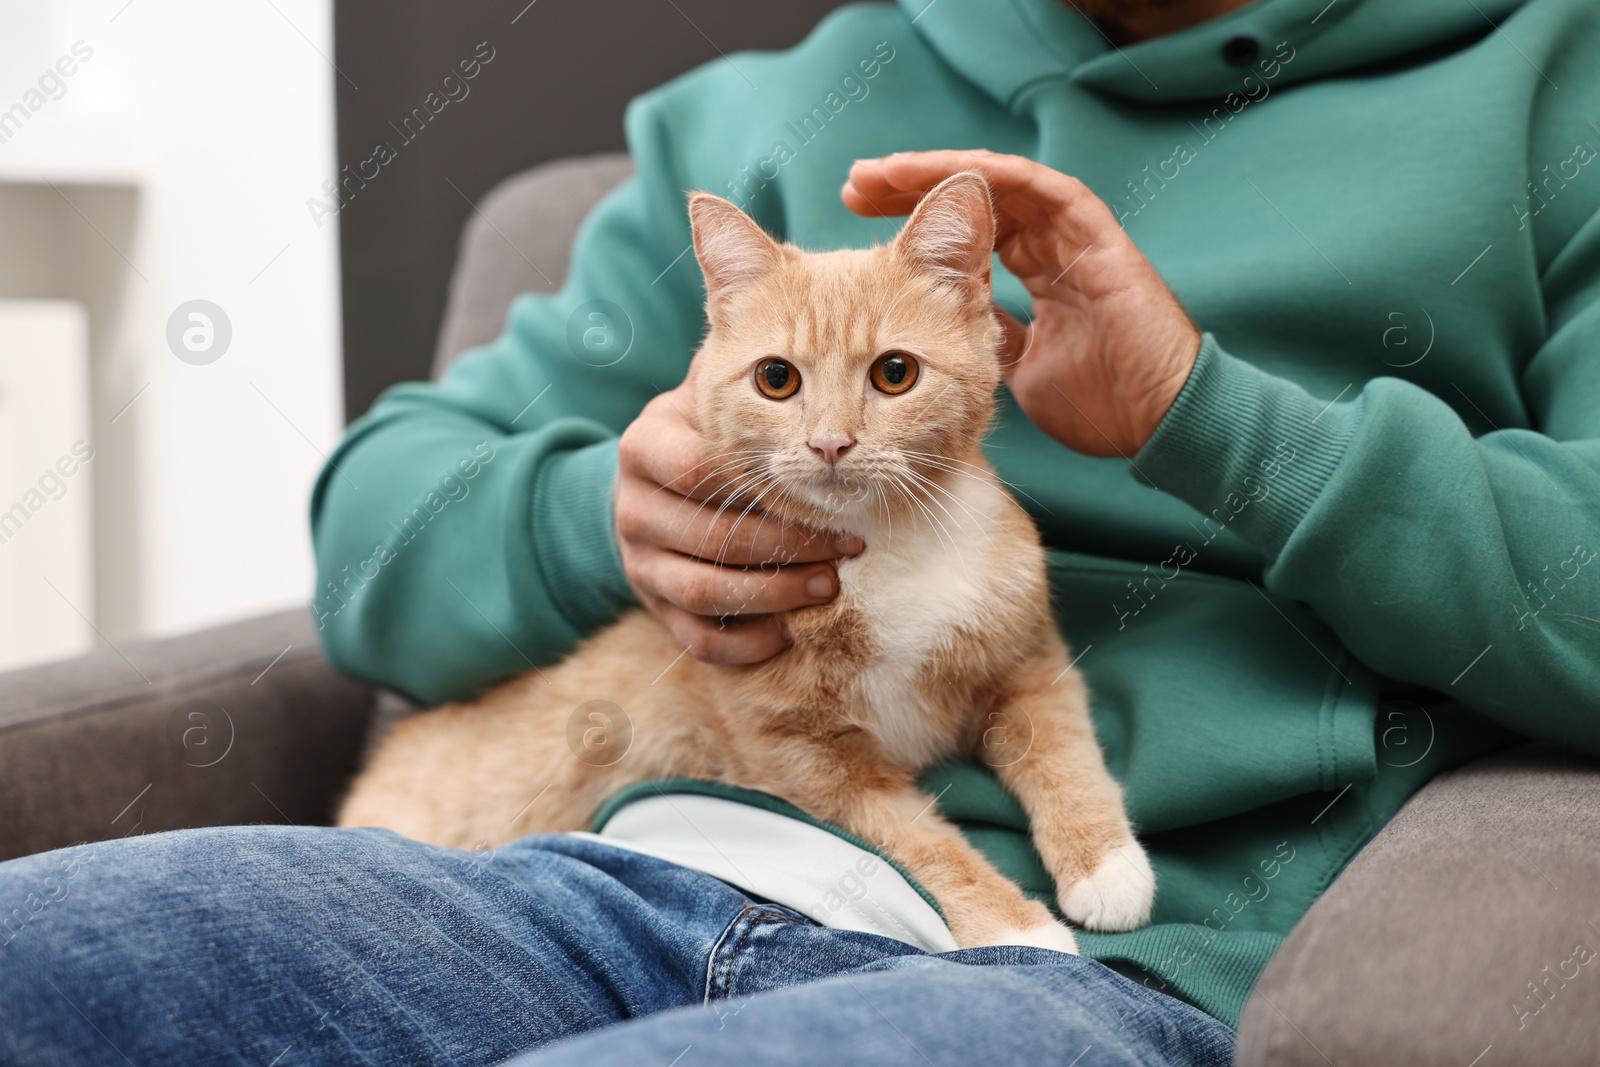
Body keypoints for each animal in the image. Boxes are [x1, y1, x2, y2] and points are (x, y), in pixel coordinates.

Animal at [344, 173, 1158, 953]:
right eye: (776, 378)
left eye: (895, 373)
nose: (830, 443)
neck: (885, 546)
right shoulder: (801, 762)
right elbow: (919, 842)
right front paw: (1016, 924)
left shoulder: (1029, 657)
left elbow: (1064, 749)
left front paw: (1106, 865)